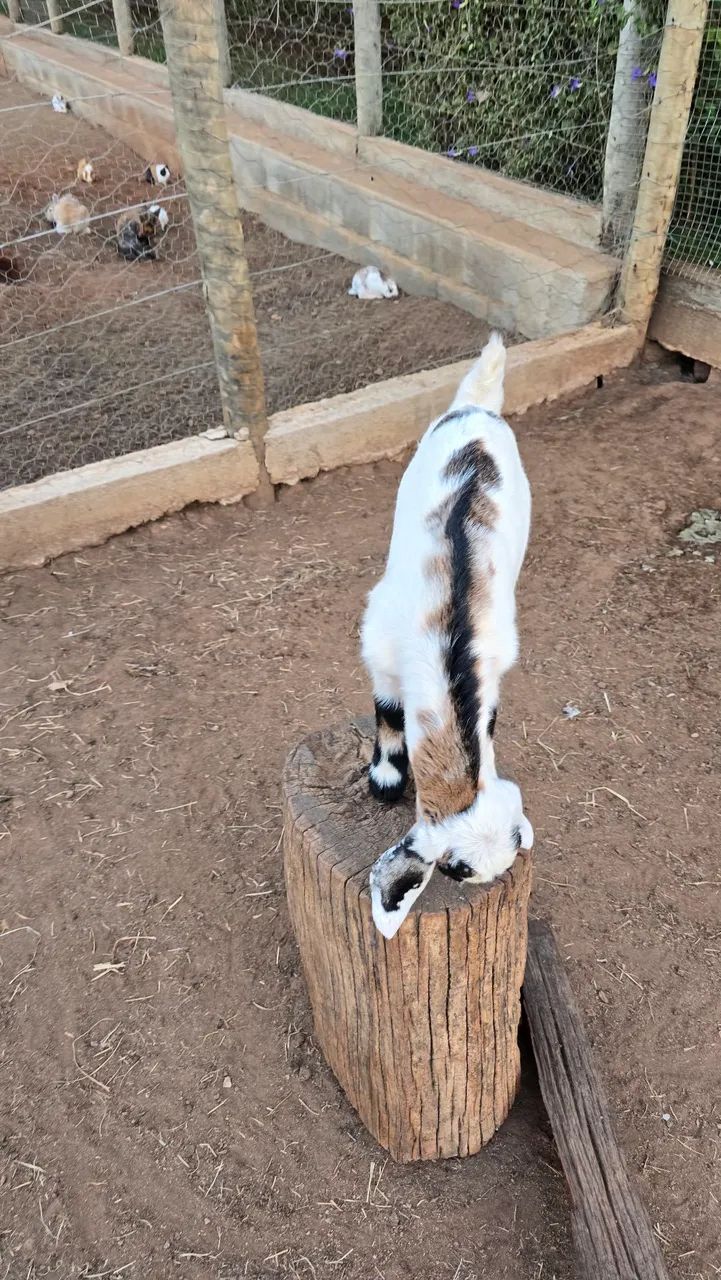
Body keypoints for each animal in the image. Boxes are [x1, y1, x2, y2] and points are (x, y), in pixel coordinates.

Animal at [361, 332, 533, 939]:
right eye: (457, 869)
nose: (491, 879)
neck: (449, 646)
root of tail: (477, 407)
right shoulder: (380, 647)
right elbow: (389, 713)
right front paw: (386, 780)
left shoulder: (496, 669)